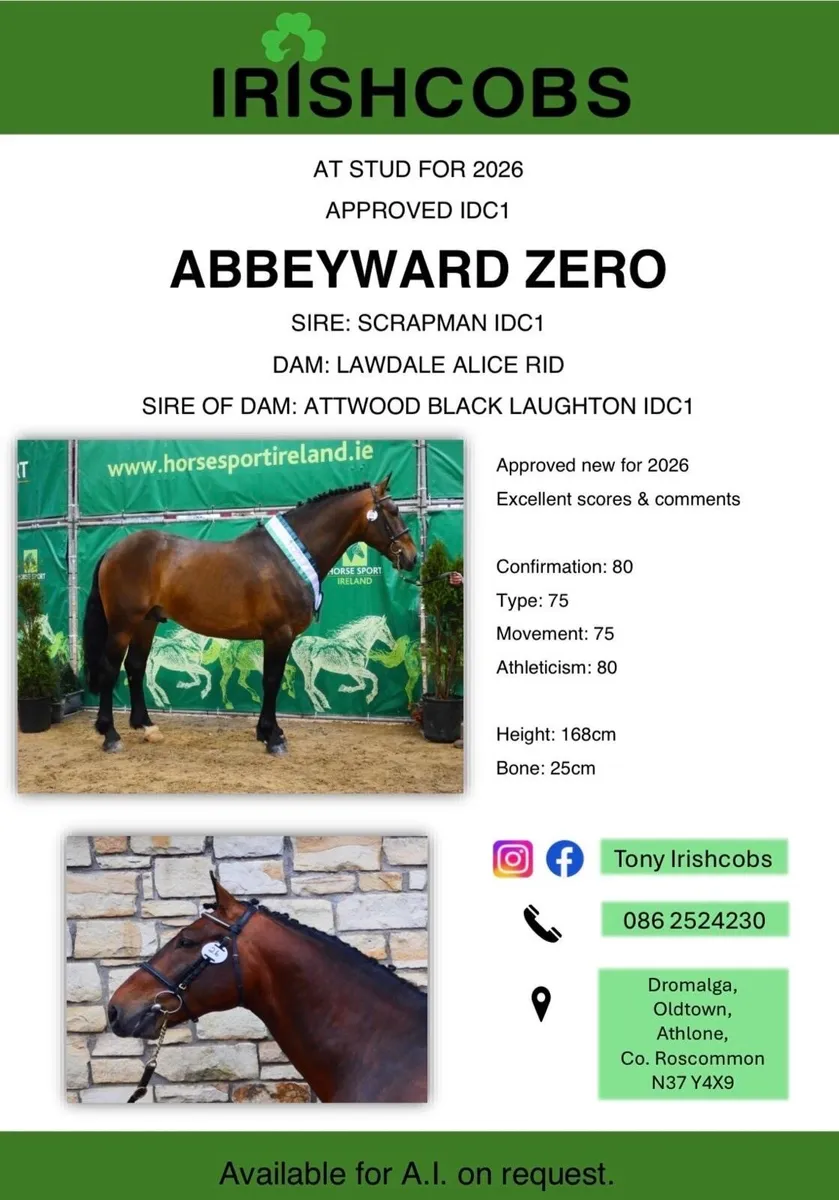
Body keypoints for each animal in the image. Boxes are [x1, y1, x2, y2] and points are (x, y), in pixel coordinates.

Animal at [82, 475, 417, 754]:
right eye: (392, 510)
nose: (412, 558)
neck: (285, 559)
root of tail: (113, 550)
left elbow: (273, 681)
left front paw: (272, 732)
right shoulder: (278, 634)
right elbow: (271, 680)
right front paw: (271, 737)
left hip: (146, 623)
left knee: (135, 666)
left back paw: (147, 727)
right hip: (123, 624)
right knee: (111, 668)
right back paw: (110, 735)